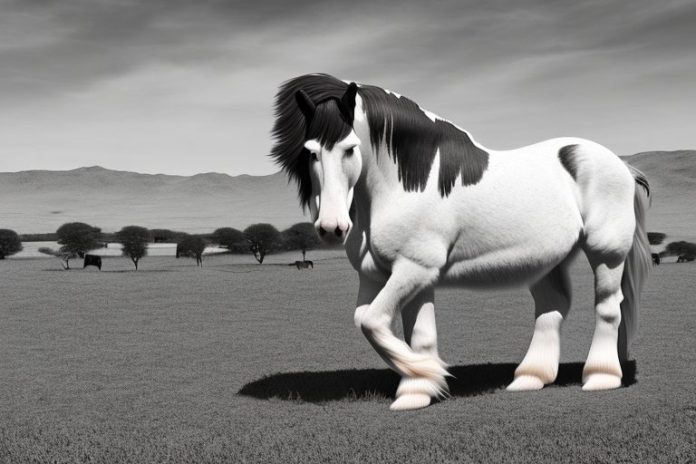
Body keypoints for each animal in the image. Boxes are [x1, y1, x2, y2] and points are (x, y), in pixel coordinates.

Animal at [270, 74, 651, 411]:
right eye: (311, 152)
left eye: (350, 149)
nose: (332, 228)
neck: (405, 184)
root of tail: (622, 166)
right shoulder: (383, 276)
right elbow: (400, 328)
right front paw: (417, 391)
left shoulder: (414, 270)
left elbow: (373, 322)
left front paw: (430, 375)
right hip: (546, 261)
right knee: (552, 308)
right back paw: (530, 377)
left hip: (607, 253)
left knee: (607, 308)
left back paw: (600, 377)